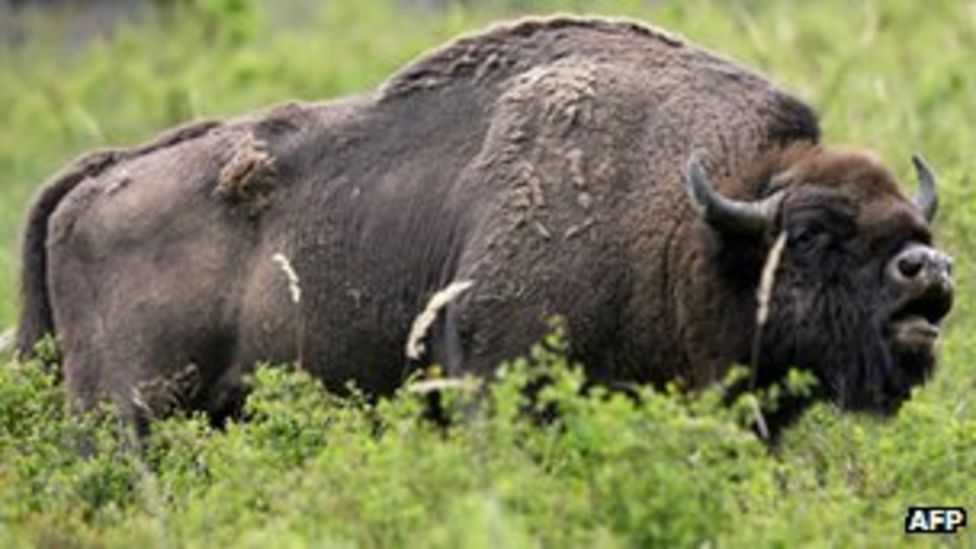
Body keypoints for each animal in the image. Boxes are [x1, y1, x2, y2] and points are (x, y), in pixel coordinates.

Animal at [16, 17, 953, 434]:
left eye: (911, 221)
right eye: (815, 235)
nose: (929, 270)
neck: (685, 221)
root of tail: (98, 175)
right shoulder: (495, 381)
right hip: (125, 411)